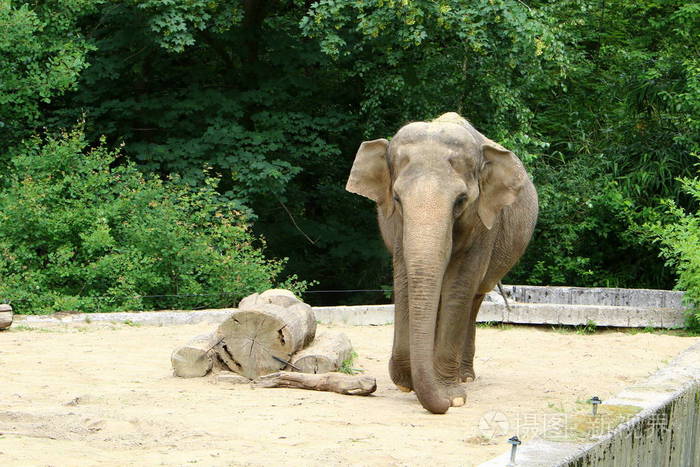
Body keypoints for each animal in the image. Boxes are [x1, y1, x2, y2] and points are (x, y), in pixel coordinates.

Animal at [346, 113, 538, 414]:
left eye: (461, 200)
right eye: (397, 198)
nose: (445, 404)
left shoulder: (484, 222)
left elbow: (459, 284)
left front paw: (453, 395)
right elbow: (404, 276)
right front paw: (408, 384)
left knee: (473, 298)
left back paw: (465, 377)